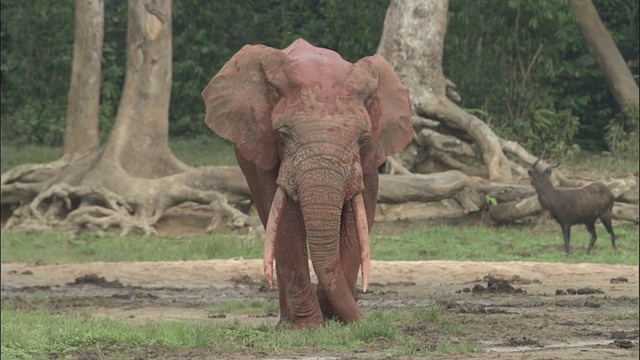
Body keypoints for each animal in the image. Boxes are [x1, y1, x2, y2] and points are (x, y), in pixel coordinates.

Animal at [205, 39, 416, 330]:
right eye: (283, 134)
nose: (369, 322)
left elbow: (359, 217)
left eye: (363, 139)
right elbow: (285, 221)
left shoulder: (369, 161)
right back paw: (286, 324)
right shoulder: (266, 151)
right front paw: (308, 327)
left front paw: (337, 317)